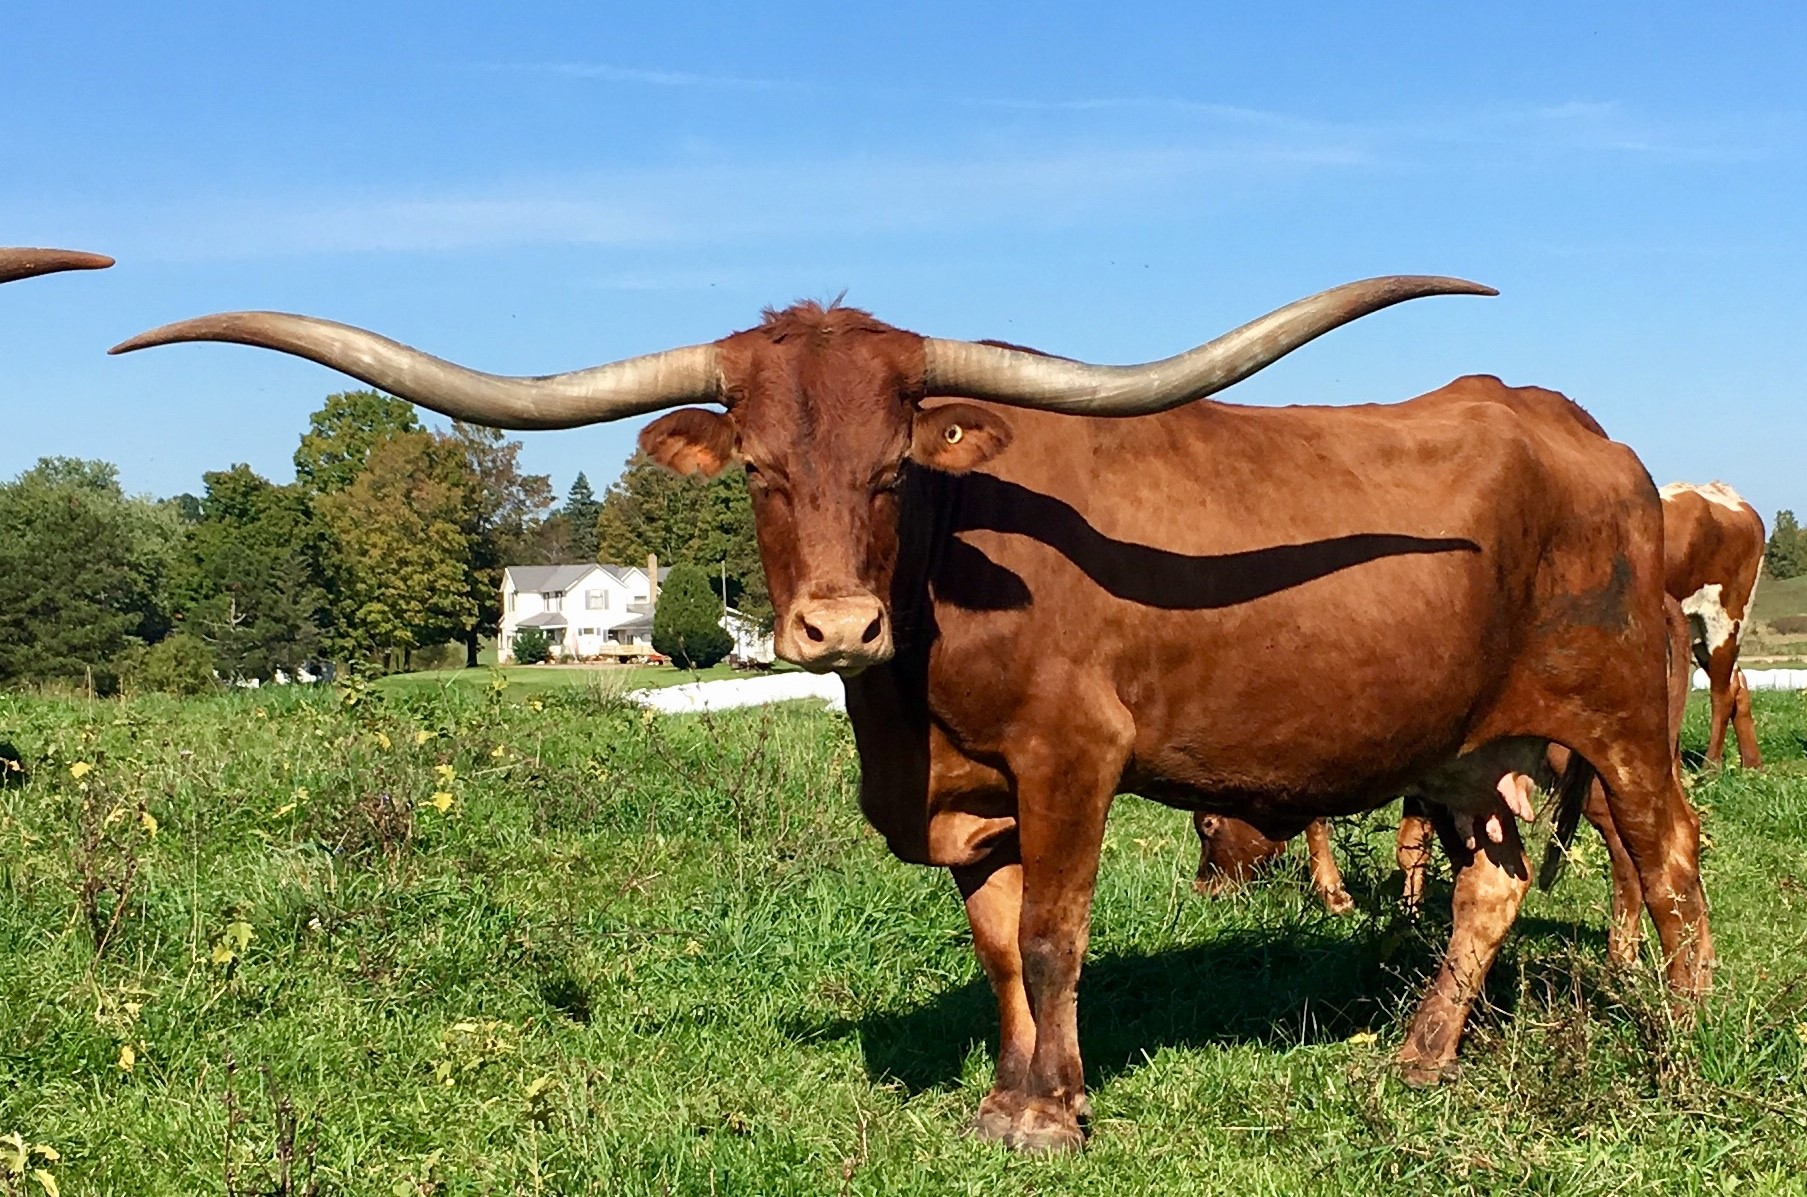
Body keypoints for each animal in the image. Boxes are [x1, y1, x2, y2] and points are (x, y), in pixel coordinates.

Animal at [112, 275, 1712, 1152]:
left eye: (893, 468)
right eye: (758, 469)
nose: (836, 627)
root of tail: (1579, 432)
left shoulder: (1071, 760)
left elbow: (1057, 937)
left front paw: (1057, 1113)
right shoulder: (970, 796)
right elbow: (999, 946)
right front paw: (1007, 1097)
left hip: (1623, 717)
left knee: (1671, 863)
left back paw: (1683, 1054)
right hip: (1463, 745)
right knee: (1494, 880)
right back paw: (1417, 1058)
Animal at [1661, 481, 1765, 770]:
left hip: (1726, 624)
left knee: (1723, 694)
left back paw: (1710, 766)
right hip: (1700, 634)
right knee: (1738, 684)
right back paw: (1752, 764)